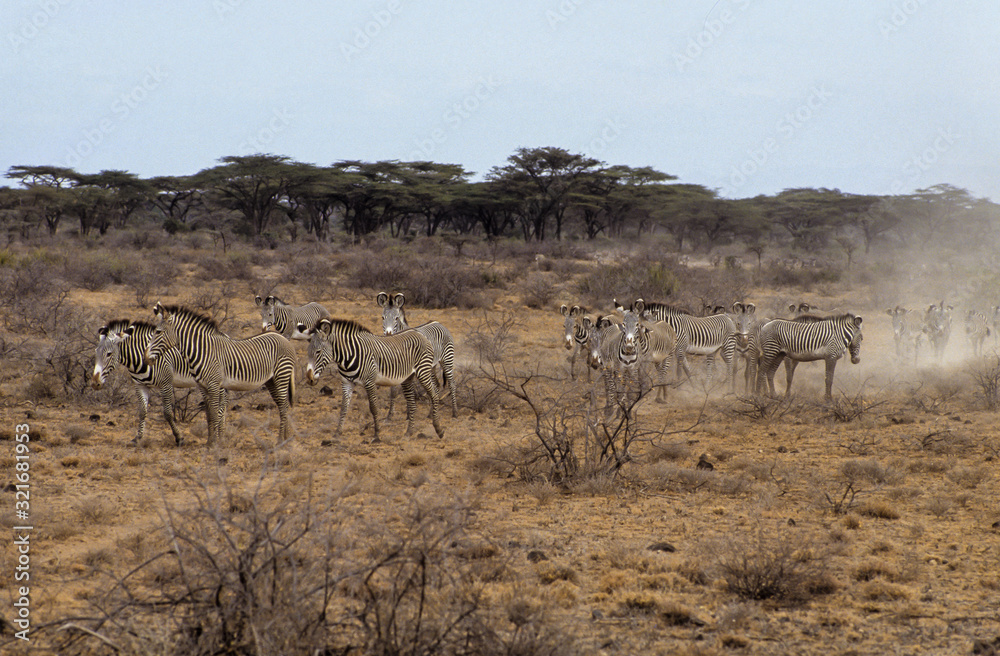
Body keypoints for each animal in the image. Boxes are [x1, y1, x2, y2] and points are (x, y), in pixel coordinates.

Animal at [147, 303, 297, 447]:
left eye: (158, 332)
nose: (146, 358)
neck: (204, 351)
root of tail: (283, 338)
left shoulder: (213, 385)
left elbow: (214, 413)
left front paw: (214, 443)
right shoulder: (203, 387)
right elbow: (208, 414)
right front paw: (209, 442)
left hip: (281, 375)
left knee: (284, 406)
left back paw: (280, 440)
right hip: (271, 380)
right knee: (281, 405)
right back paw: (286, 437)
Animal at [303, 317, 444, 443]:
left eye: (318, 352)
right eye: (308, 351)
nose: (309, 379)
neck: (347, 358)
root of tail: (420, 334)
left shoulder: (369, 382)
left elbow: (374, 408)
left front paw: (377, 434)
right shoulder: (347, 383)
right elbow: (343, 408)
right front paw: (337, 433)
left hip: (423, 372)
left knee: (434, 394)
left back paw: (438, 429)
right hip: (408, 378)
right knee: (412, 404)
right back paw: (409, 432)